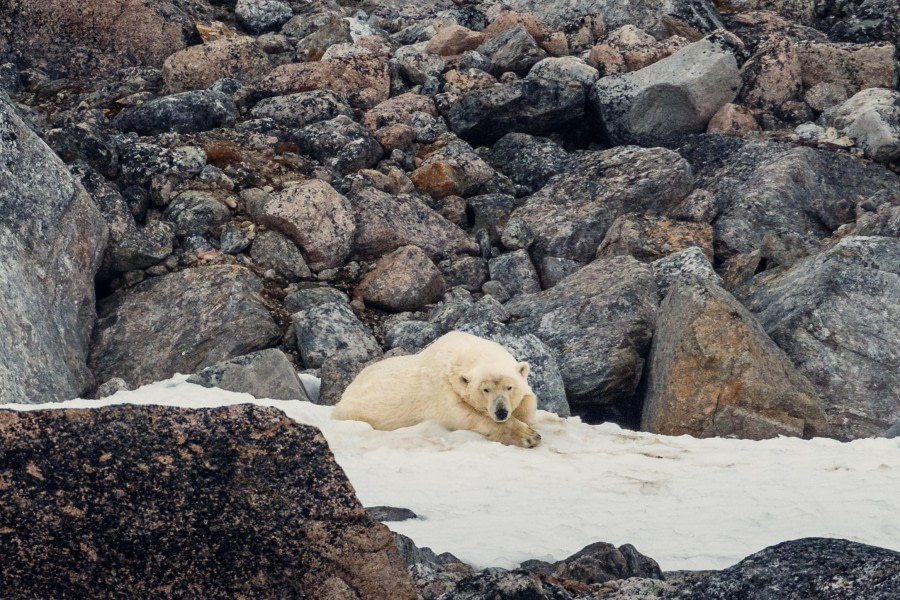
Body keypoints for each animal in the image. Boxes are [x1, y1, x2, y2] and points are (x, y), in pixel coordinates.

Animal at [332, 330, 536, 448]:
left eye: (509, 387)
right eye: (485, 390)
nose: (501, 412)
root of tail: (347, 390)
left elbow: (528, 401)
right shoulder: (444, 389)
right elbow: (463, 415)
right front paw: (528, 436)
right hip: (351, 410)